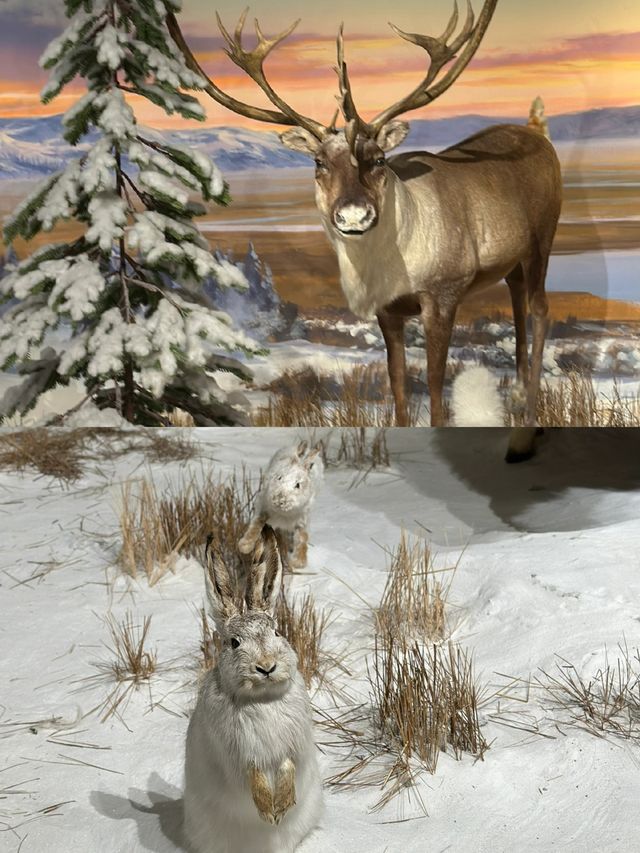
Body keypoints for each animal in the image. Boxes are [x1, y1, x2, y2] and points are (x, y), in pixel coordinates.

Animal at [182, 524, 322, 852]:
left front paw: (280, 809)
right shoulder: (238, 752)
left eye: (278, 632)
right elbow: (254, 774)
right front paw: (268, 812)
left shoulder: (291, 746)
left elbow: (287, 767)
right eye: (234, 643)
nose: (267, 667)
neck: (263, 699)